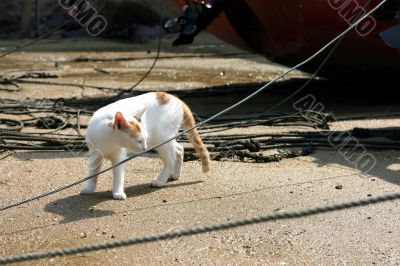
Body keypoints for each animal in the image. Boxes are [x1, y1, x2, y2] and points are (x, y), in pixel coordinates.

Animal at [80, 91, 211, 200]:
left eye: (143, 139)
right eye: (139, 141)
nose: (145, 148)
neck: (109, 140)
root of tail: (175, 99)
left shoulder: (119, 157)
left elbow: (118, 176)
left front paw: (117, 193)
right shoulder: (94, 154)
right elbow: (92, 173)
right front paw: (89, 189)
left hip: (162, 140)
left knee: (171, 160)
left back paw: (160, 181)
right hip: (163, 140)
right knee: (179, 149)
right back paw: (175, 175)